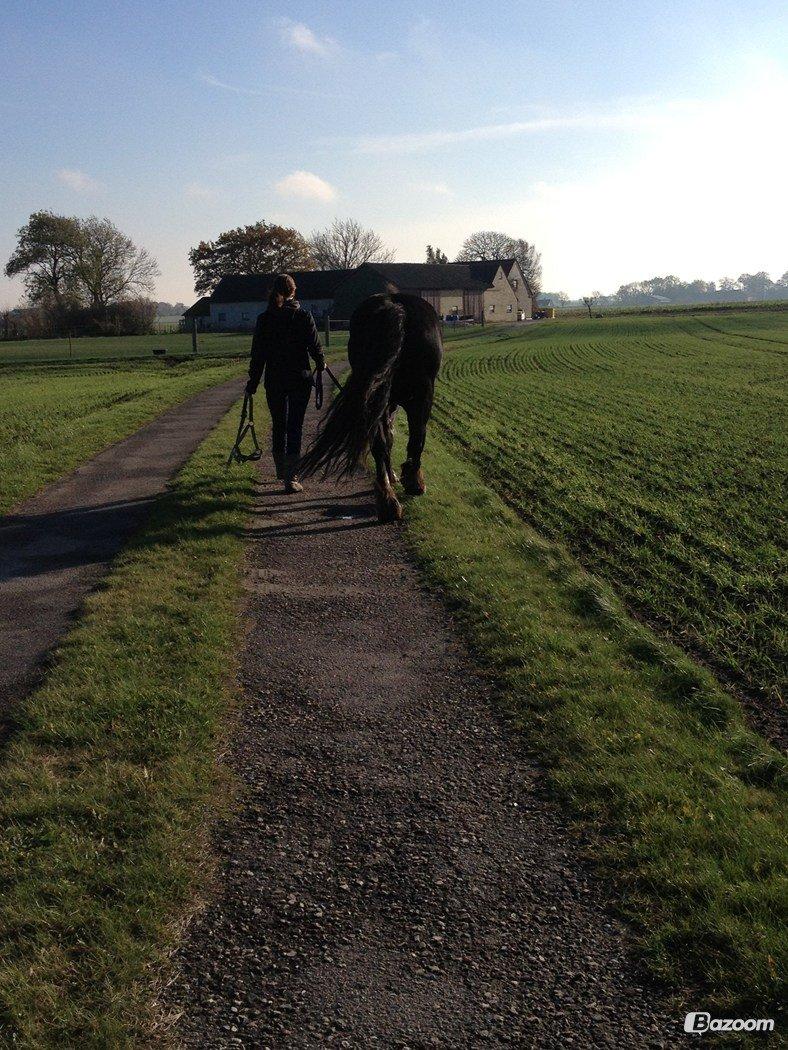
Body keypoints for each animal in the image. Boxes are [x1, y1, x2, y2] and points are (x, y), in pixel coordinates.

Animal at [298, 291, 445, 520]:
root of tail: (395, 307)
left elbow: (387, 440)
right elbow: (403, 439)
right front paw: (404, 477)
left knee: (379, 444)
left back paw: (387, 500)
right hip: (421, 396)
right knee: (416, 438)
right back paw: (411, 485)